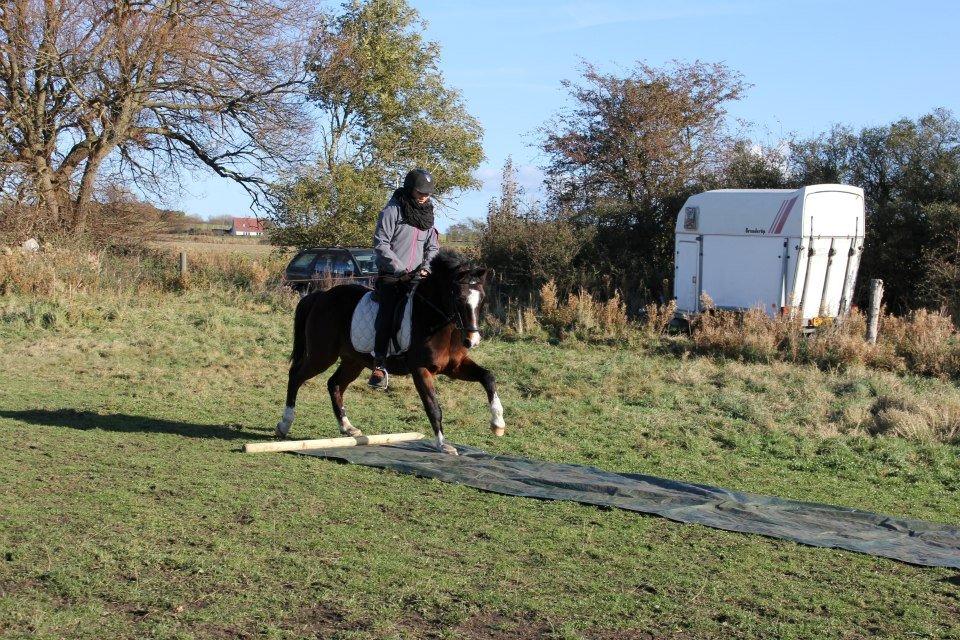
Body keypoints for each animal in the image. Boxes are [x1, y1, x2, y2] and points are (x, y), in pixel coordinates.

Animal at [276, 248, 506, 452]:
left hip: (353, 360)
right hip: (322, 355)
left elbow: (488, 377)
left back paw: (348, 428)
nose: (472, 341)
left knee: (335, 384)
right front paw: (442, 444)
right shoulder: (420, 370)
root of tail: (321, 296)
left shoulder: (455, 367)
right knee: (296, 376)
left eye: (482, 299)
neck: (438, 322)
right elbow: (433, 406)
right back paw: (284, 424)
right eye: (458, 298)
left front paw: (498, 423)